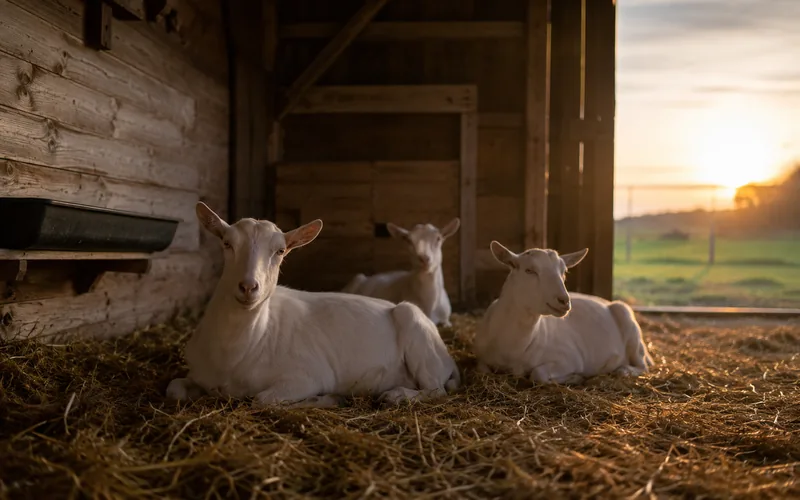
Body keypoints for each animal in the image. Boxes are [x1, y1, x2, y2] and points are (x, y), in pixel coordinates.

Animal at [166, 203, 461, 408]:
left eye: (280, 251)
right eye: (227, 243)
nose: (249, 287)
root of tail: (448, 359)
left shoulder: (306, 375)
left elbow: (262, 399)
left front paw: (328, 399)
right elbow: (174, 389)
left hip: (416, 329)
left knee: (436, 390)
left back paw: (396, 396)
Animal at [473, 241, 654, 384]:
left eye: (564, 272)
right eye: (529, 270)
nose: (564, 301)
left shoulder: (569, 358)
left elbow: (538, 374)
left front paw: (576, 377)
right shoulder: (482, 358)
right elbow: (482, 369)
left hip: (630, 327)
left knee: (642, 366)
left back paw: (623, 370)